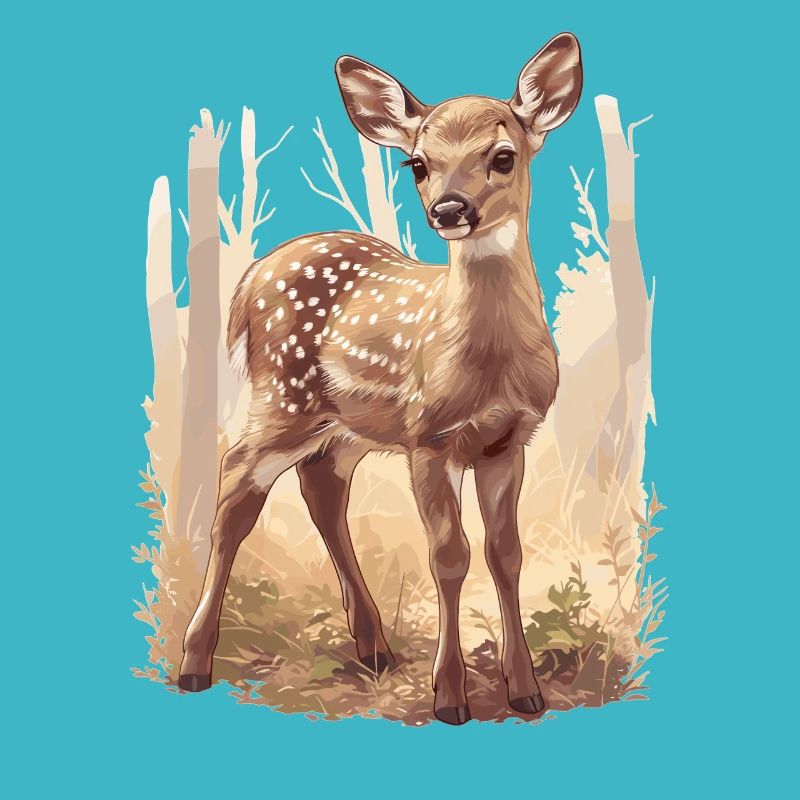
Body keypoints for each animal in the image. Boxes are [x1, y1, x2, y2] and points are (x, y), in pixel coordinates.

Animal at [179, 32, 583, 725]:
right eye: (416, 164)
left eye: (503, 156)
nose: (450, 209)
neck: (488, 367)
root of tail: (250, 281)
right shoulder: (430, 436)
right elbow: (449, 557)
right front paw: (450, 697)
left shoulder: (508, 441)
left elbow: (506, 555)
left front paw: (526, 690)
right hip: (283, 397)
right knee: (235, 483)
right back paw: (193, 663)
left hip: (345, 426)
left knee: (320, 489)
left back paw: (375, 648)